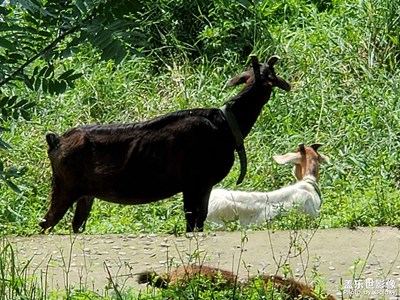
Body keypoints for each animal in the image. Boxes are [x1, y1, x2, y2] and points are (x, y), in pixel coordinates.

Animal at [39, 55, 290, 233]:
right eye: (273, 75)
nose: (287, 85)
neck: (225, 125)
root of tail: (55, 140)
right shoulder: (195, 183)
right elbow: (193, 222)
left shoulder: (202, 186)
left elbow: (199, 220)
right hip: (65, 188)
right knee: (45, 223)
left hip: (85, 194)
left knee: (75, 225)